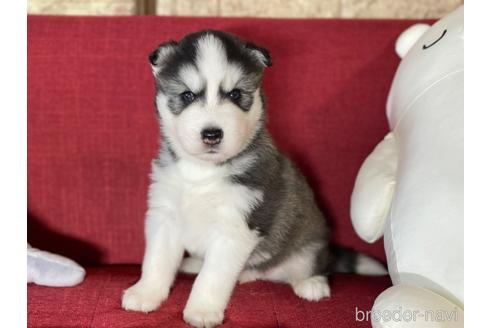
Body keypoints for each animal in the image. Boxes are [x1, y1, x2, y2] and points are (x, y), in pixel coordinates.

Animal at [121, 30, 386, 328]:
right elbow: (156, 260)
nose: (212, 134)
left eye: (236, 94)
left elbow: (212, 277)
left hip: (310, 242)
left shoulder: (236, 225)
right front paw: (146, 293)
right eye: (187, 95)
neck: (203, 171)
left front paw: (202, 309)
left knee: (310, 263)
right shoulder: (164, 214)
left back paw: (311, 284)